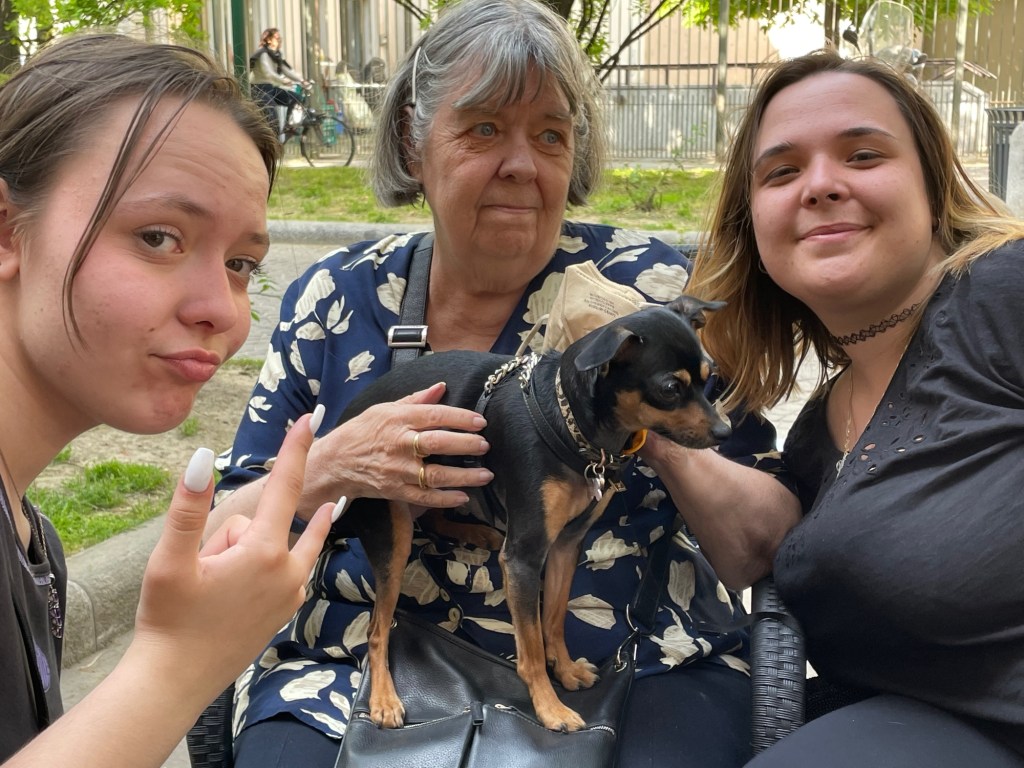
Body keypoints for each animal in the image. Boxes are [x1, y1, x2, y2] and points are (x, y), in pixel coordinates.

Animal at [334, 295, 731, 733]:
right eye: (670, 389)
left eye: (709, 379)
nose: (725, 432)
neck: (571, 429)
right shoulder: (524, 557)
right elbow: (532, 646)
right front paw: (549, 706)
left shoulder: (565, 545)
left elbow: (553, 619)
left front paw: (567, 669)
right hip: (393, 532)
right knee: (377, 628)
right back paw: (384, 699)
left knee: (435, 515)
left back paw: (477, 533)